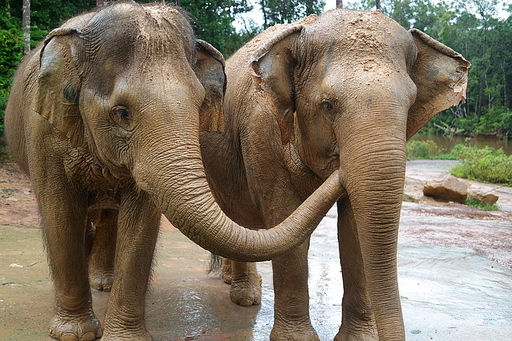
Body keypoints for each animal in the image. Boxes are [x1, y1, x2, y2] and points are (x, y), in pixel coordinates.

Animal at [4, 3, 344, 340]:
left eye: (199, 104)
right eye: (121, 112)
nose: (340, 165)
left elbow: (141, 219)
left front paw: (124, 337)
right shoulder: (43, 131)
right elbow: (61, 213)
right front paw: (75, 334)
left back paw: (105, 283)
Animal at [198, 7, 470, 340]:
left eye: (409, 106)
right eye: (327, 105)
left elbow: (354, 228)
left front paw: (360, 337)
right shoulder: (261, 129)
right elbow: (286, 217)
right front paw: (297, 339)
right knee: (237, 214)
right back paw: (245, 297)